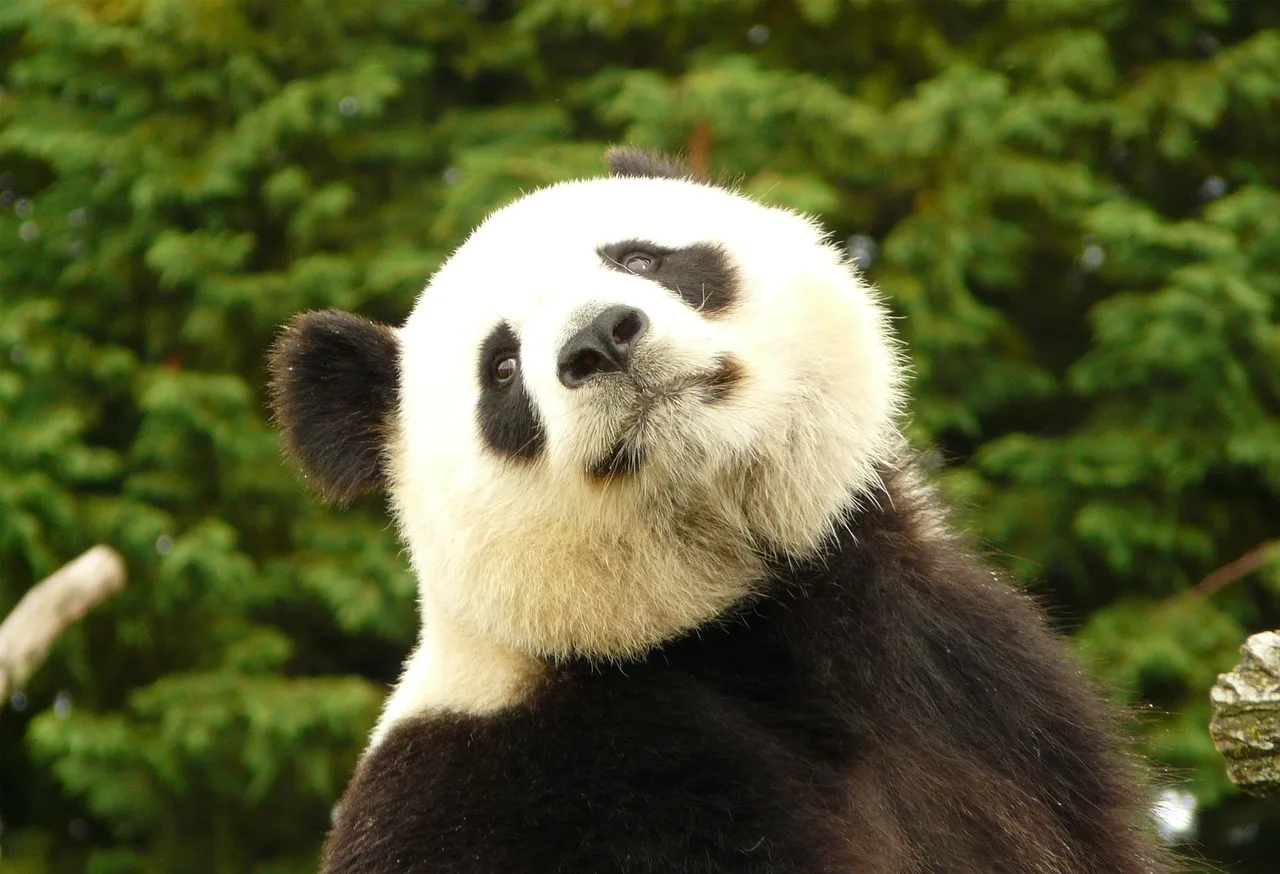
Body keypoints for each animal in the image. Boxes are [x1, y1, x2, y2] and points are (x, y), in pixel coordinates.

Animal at [268, 147, 1172, 873]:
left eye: (641, 257)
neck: (726, 623)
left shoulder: (971, 690)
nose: (601, 338)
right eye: (500, 368)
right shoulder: (537, 783)